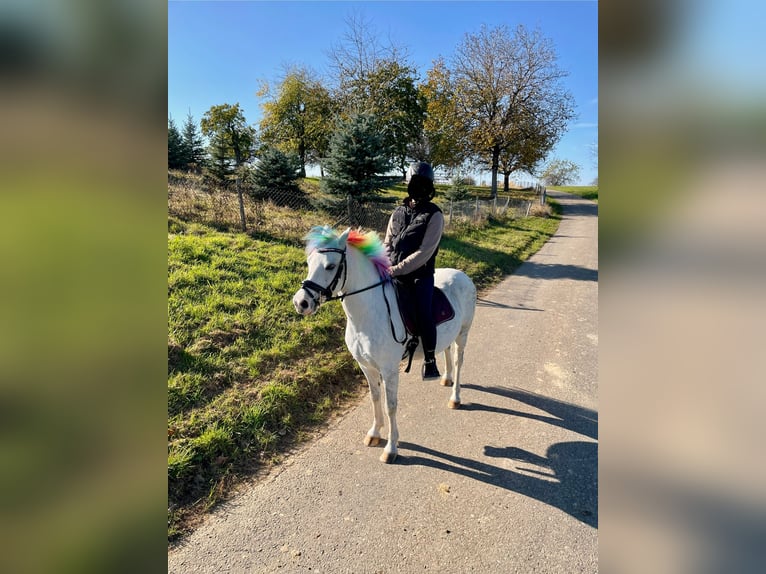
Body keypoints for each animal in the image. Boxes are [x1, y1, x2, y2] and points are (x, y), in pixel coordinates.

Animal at [292, 226, 477, 463]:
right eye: (309, 262)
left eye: (330, 266)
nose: (301, 303)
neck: (369, 313)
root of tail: (462, 275)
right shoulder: (366, 366)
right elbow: (375, 397)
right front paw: (374, 433)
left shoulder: (389, 370)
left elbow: (391, 406)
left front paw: (391, 447)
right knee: (444, 350)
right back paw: (445, 377)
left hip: (463, 334)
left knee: (458, 360)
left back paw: (455, 397)